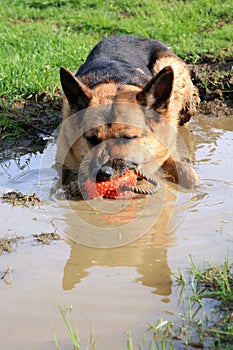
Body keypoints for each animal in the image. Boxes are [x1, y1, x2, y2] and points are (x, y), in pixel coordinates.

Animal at [57, 35, 200, 197]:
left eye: (128, 138)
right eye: (92, 139)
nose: (102, 173)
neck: (115, 81)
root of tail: (130, 36)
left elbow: (184, 170)